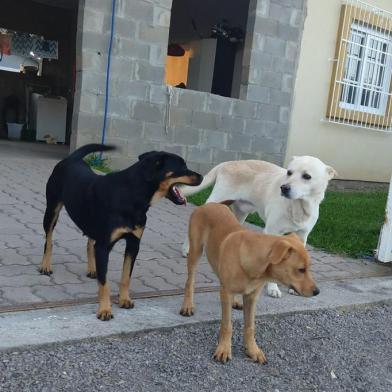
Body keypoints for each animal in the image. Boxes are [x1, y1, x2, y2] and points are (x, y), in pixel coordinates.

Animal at [38, 142, 202, 320]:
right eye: (181, 166)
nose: (201, 177)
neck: (133, 195)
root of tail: (71, 158)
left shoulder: (133, 244)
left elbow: (126, 277)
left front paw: (124, 299)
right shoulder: (104, 246)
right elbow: (104, 283)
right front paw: (104, 310)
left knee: (89, 243)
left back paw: (92, 269)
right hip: (52, 210)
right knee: (49, 240)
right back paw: (45, 266)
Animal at [180, 204, 318, 362]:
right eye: (301, 269)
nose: (317, 292)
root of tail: (209, 204)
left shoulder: (252, 297)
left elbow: (250, 326)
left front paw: (252, 350)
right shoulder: (226, 293)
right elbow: (227, 325)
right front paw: (224, 349)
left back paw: (236, 301)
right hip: (195, 251)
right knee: (190, 281)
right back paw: (187, 305)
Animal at [181, 155, 336, 298]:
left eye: (307, 176)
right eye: (289, 172)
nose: (284, 188)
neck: (297, 206)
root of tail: (227, 163)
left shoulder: (302, 236)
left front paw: (294, 288)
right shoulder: (273, 231)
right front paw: (273, 288)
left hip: (239, 215)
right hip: (215, 200)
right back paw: (186, 249)